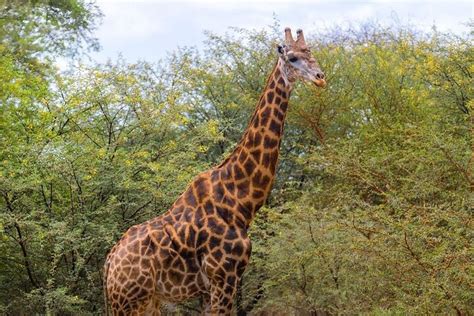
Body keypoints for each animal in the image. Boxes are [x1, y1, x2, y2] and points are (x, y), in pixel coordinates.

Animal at [103, 28, 326, 314]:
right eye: (293, 58)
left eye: (312, 53)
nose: (320, 78)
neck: (241, 201)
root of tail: (109, 264)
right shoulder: (224, 276)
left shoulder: (213, 287)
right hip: (130, 301)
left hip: (148, 301)